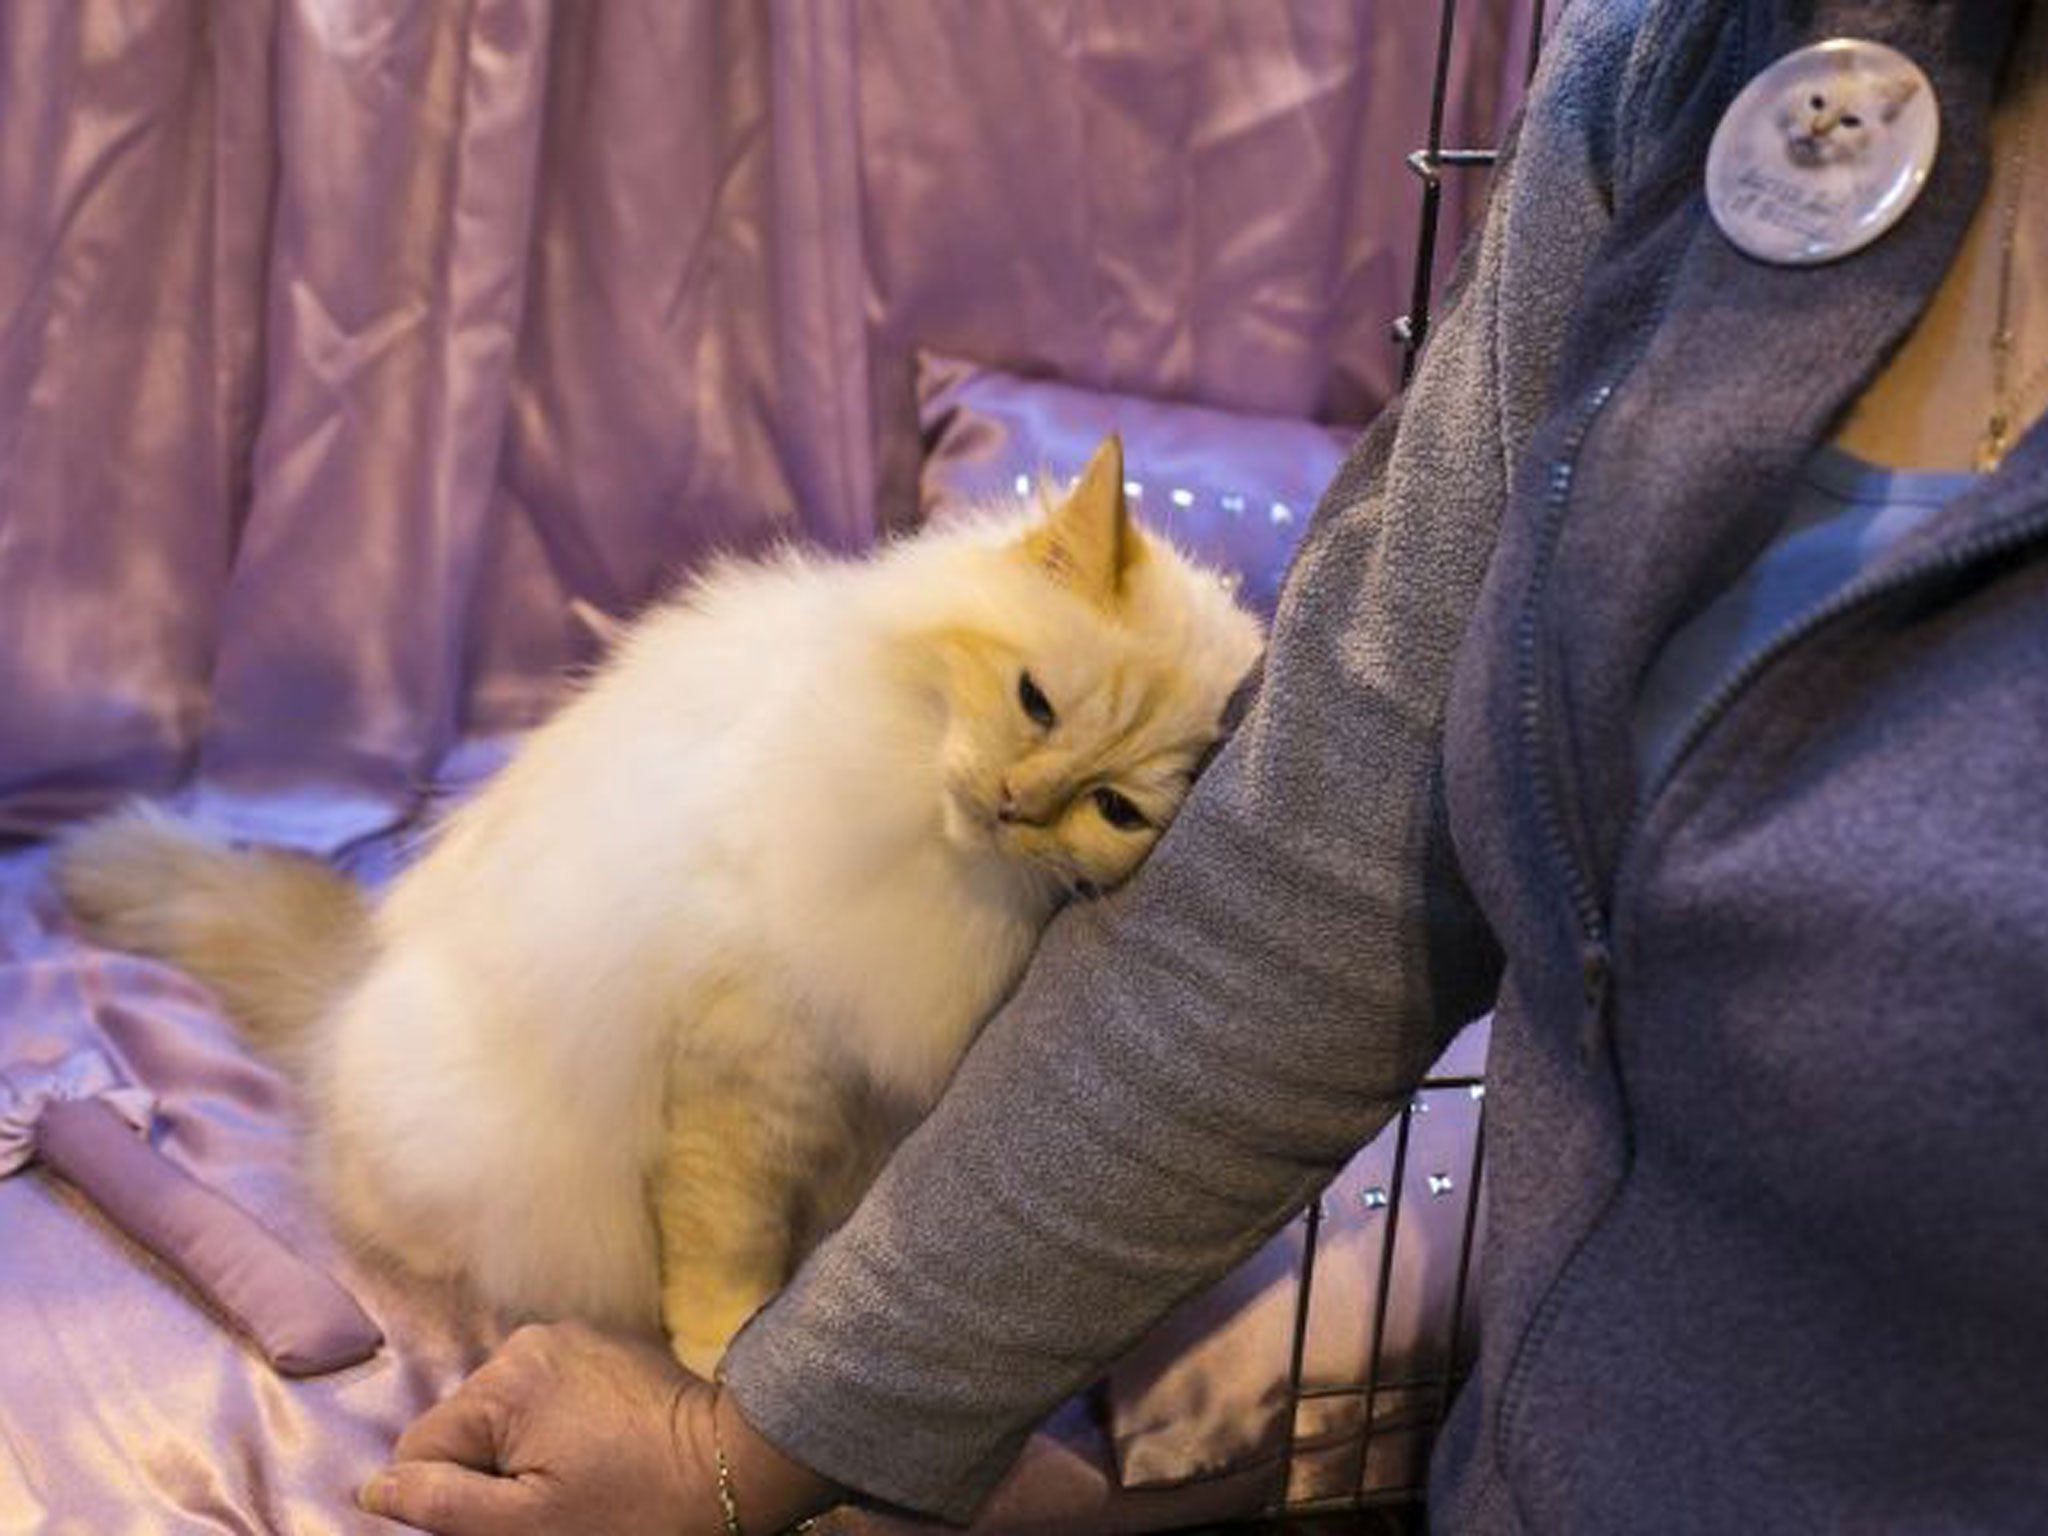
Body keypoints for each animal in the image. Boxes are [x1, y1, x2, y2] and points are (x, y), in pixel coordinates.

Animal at [56, 438, 1253, 1376]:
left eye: (1110, 809)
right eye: (1034, 703)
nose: (1014, 805)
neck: (951, 878)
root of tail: (350, 990)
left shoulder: (856, 1098)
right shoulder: (748, 1071)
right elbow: (724, 1239)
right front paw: (720, 1347)